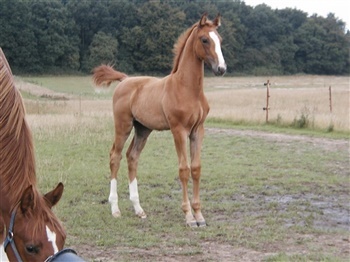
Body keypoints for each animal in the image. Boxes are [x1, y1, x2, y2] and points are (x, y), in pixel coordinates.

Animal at [91, 13, 226, 227]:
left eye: (220, 40)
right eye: (204, 39)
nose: (221, 68)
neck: (187, 89)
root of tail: (125, 80)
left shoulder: (198, 130)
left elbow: (196, 169)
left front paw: (200, 216)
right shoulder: (178, 130)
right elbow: (184, 169)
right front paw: (189, 217)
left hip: (143, 129)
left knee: (132, 157)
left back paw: (139, 210)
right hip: (123, 126)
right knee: (115, 157)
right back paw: (115, 209)